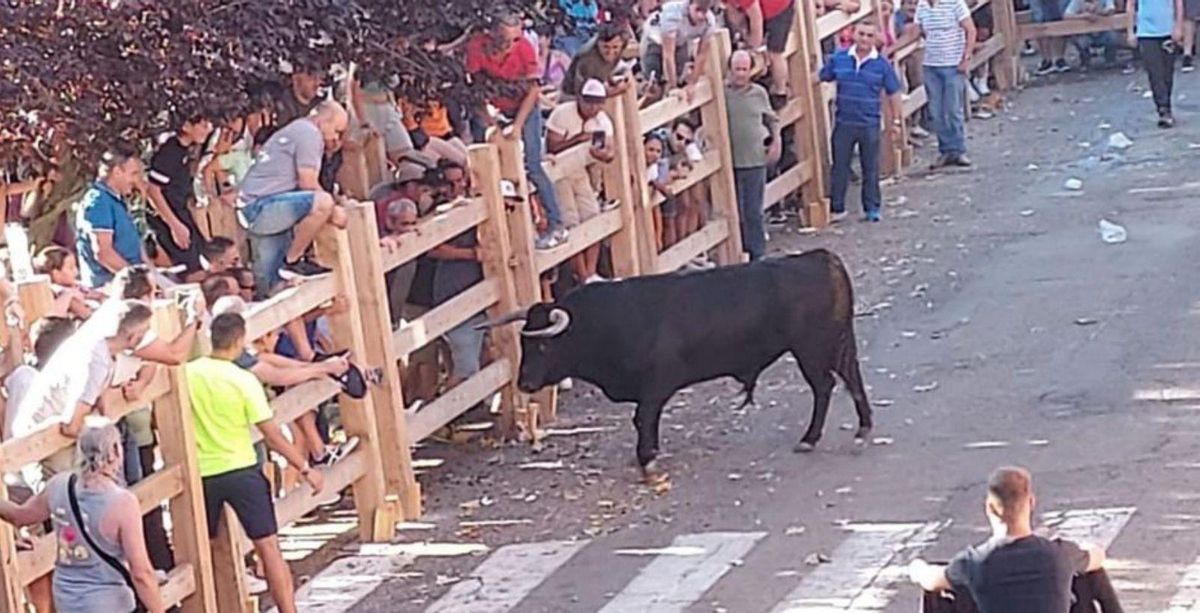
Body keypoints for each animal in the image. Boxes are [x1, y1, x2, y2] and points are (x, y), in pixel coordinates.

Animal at [480, 249, 873, 475]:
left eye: (544, 347)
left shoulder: (657, 385)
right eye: (523, 342)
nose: (524, 383)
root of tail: (819, 258)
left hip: (812, 348)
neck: (604, 322)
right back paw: (862, 428)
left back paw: (811, 438)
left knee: (824, 386)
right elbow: (641, 420)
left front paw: (647, 458)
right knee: (851, 378)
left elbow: (643, 418)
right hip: (835, 343)